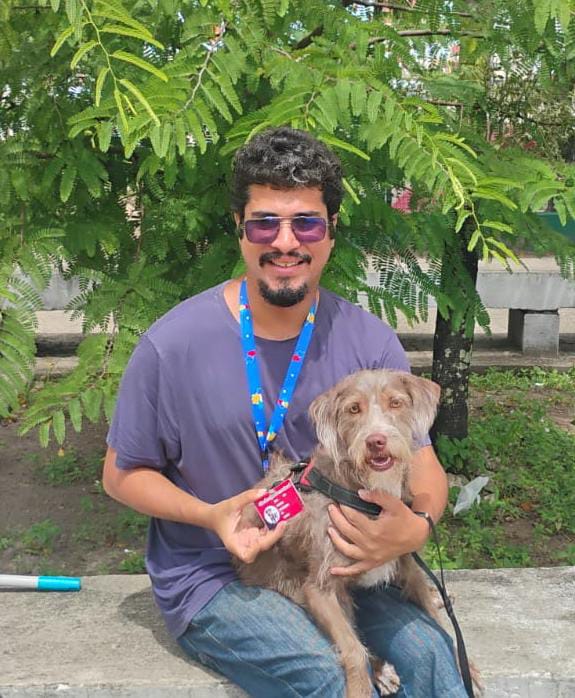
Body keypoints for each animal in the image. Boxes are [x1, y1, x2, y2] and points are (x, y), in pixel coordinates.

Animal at [234, 369, 467, 697]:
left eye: (396, 403)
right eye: (353, 409)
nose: (376, 441)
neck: (368, 497)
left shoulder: (409, 564)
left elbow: (442, 627)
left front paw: (470, 670)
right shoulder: (319, 589)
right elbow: (353, 649)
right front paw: (361, 686)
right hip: (291, 583)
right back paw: (381, 670)